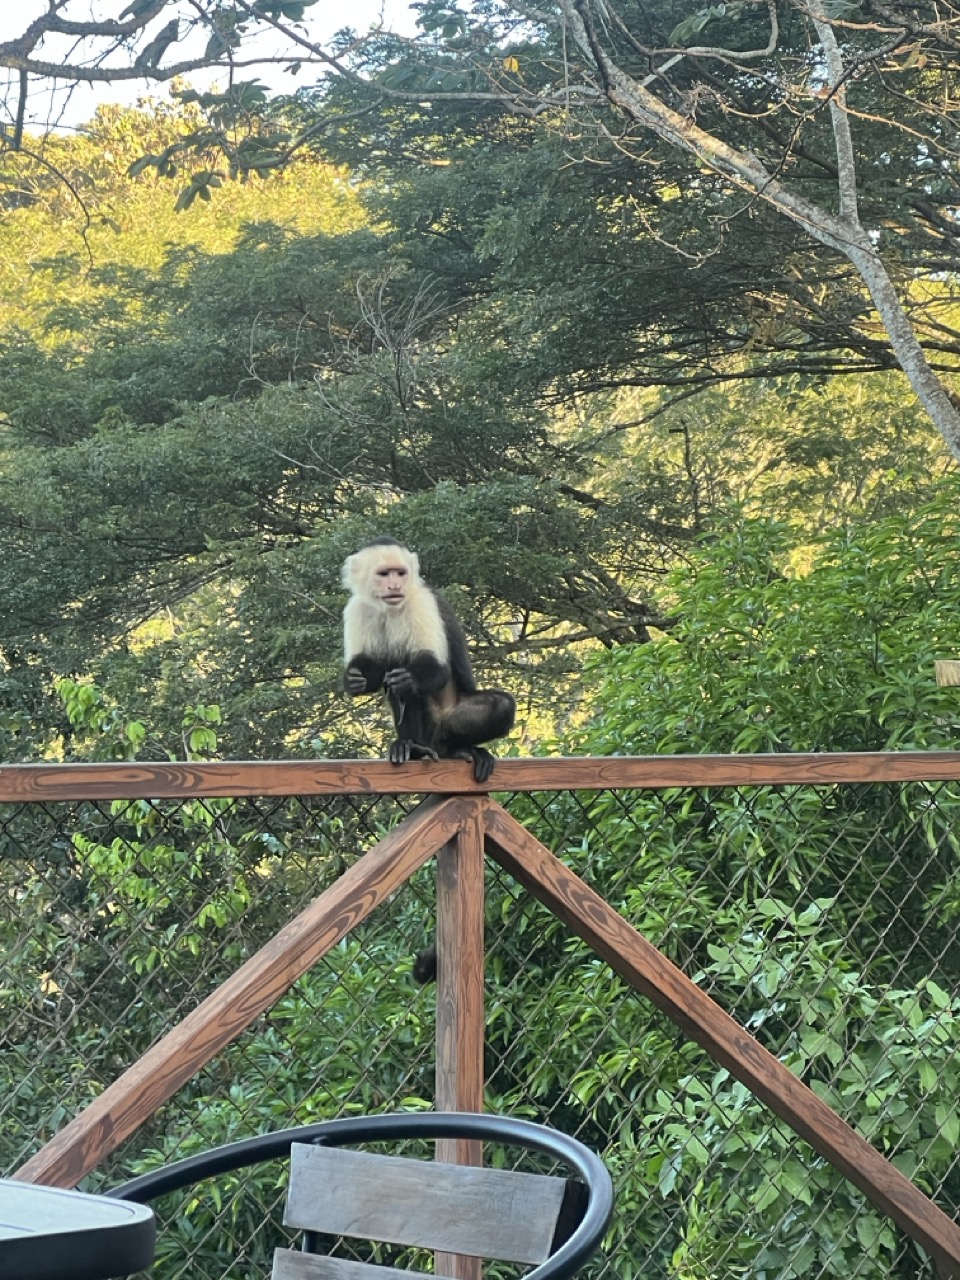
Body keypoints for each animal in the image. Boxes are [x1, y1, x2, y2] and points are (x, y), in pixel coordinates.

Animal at [341, 537, 515, 785]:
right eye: (384, 574)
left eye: (400, 573)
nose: (395, 586)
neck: (389, 607)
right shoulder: (357, 608)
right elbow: (369, 666)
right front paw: (355, 680)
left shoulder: (422, 601)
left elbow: (436, 667)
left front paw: (409, 678)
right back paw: (411, 746)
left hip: (453, 720)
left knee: (500, 705)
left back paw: (455, 749)